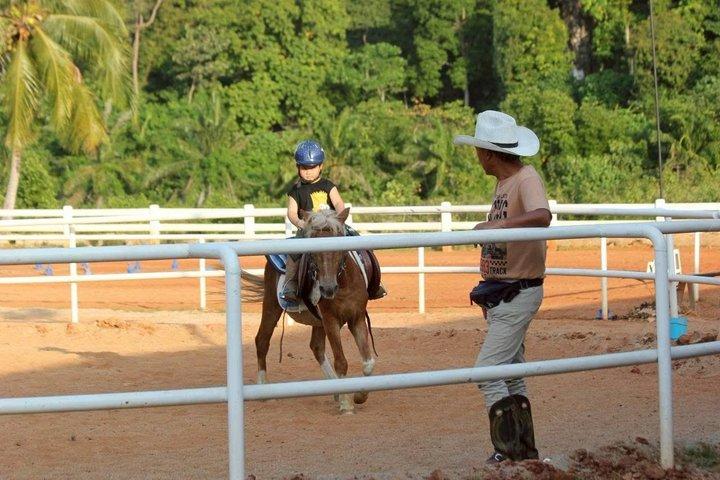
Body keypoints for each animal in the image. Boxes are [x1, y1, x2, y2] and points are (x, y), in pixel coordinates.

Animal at [242, 208, 376, 414]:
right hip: (272, 305)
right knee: (262, 340)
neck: (344, 285)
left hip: (317, 321)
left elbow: (368, 362)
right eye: (313, 253)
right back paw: (264, 390)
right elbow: (341, 361)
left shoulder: (357, 318)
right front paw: (346, 404)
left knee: (317, 347)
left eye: (339, 249)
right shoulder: (330, 320)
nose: (327, 289)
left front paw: (359, 396)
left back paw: (335, 391)